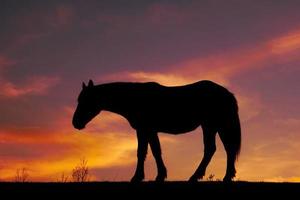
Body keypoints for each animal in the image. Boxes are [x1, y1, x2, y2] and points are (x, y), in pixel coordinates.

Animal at [72, 79, 241, 181]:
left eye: (85, 100)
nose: (75, 123)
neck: (134, 98)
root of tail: (227, 93)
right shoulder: (148, 131)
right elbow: (151, 151)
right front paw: (155, 175)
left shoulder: (145, 129)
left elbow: (146, 152)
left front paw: (142, 177)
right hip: (213, 126)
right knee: (223, 149)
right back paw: (224, 176)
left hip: (211, 125)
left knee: (216, 149)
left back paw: (200, 176)